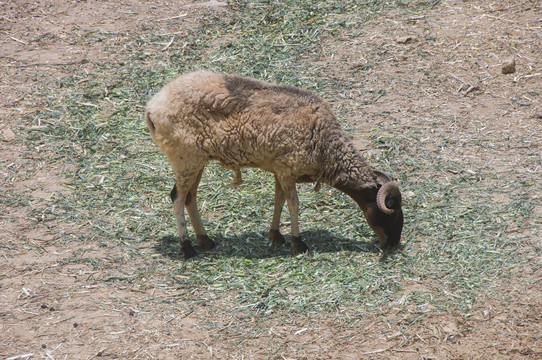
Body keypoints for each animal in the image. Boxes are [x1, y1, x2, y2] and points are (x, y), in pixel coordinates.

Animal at [146, 70, 404, 258]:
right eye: (391, 209)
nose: (393, 243)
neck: (326, 144)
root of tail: (153, 107)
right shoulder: (288, 170)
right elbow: (294, 204)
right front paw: (298, 243)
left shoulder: (280, 170)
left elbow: (279, 200)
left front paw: (276, 235)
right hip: (185, 160)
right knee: (177, 198)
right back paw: (187, 248)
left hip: (196, 162)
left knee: (190, 198)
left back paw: (205, 241)